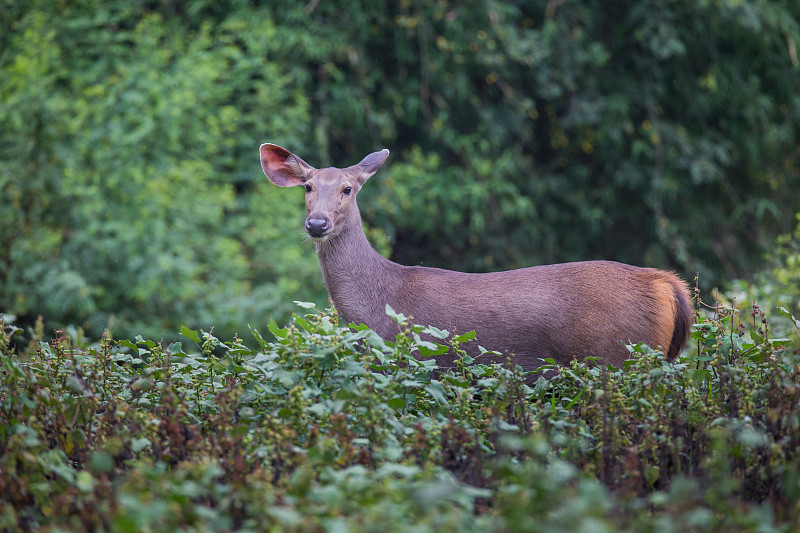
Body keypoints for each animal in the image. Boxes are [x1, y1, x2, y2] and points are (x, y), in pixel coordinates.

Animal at [260, 143, 692, 376]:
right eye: (308, 186)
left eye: (348, 189)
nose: (317, 223)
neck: (375, 306)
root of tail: (666, 283)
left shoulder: (415, 361)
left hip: (619, 356)